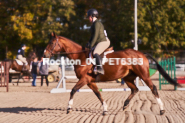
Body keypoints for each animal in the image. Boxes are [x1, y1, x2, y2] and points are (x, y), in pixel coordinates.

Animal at [44, 32, 180, 115]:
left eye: (51, 43)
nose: (45, 54)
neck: (80, 56)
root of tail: (141, 53)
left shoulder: (84, 79)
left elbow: (72, 91)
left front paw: (69, 108)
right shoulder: (90, 81)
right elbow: (98, 94)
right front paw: (105, 110)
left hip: (144, 76)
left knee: (153, 88)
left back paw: (162, 110)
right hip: (129, 78)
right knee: (135, 89)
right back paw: (125, 106)